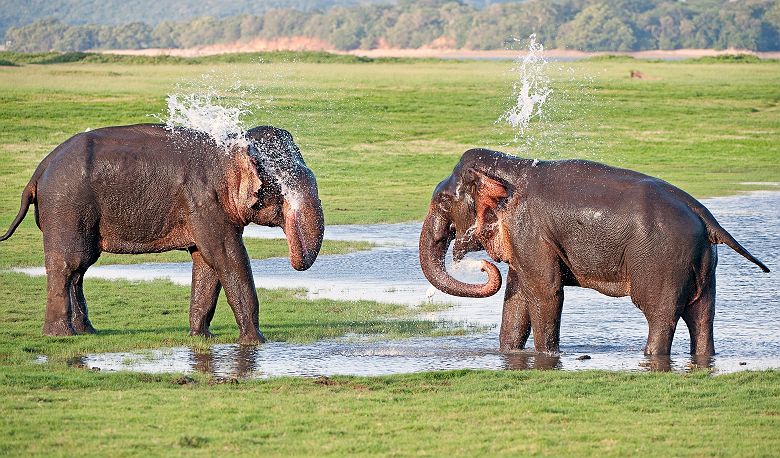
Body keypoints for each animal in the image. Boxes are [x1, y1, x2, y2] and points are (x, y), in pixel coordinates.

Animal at [1, 123, 324, 346]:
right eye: (286, 187)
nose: (295, 258)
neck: (230, 148)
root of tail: (39, 170)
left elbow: (207, 262)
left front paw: (200, 337)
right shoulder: (204, 201)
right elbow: (227, 257)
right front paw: (256, 342)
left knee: (80, 268)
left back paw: (87, 331)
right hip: (66, 206)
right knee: (70, 264)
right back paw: (61, 335)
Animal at [420, 148, 768, 356]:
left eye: (444, 200)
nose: (481, 266)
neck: (511, 165)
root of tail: (705, 215)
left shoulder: (530, 231)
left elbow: (546, 292)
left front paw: (547, 356)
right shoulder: (524, 239)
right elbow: (517, 296)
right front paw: (509, 354)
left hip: (662, 259)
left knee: (660, 313)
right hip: (703, 262)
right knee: (702, 314)